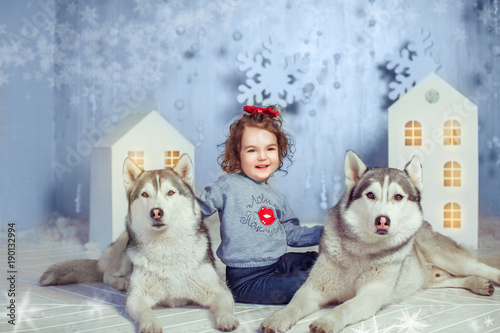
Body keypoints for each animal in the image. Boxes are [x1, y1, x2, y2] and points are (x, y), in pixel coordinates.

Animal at [40, 156, 239, 332]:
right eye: (145, 194)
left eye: (170, 192)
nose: (156, 212)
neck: (166, 248)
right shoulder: (136, 298)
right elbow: (145, 312)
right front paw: (150, 324)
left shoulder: (220, 291)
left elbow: (224, 305)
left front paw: (227, 319)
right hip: (124, 249)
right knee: (107, 275)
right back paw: (122, 282)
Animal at [262, 151, 500, 332]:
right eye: (370, 195)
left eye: (398, 197)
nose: (382, 220)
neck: (362, 251)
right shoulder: (314, 288)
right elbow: (294, 304)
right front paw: (277, 318)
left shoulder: (371, 294)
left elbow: (345, 307)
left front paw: (327, 321)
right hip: (429, 278)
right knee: (452, 278)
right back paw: (477, 283)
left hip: (446, 257)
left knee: (479, 267)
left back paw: (488, 278)